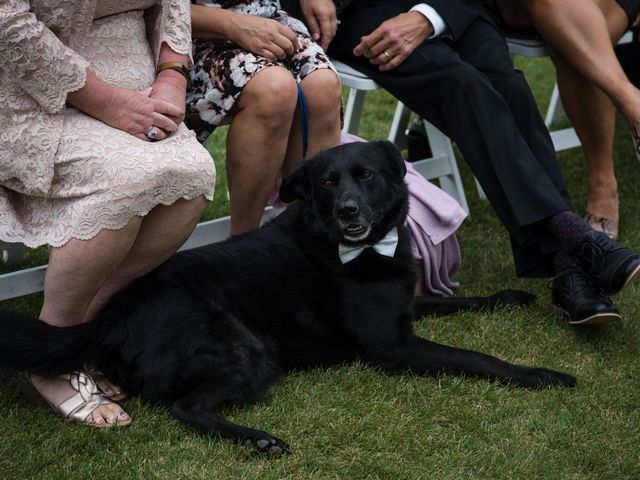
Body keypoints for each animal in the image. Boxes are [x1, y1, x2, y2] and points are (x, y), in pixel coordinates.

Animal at [0, 141, 576, 452]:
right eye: (327, 183)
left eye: (366, 175)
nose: (347, 211)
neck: (354, 247)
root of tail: (109, 317)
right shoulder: (393, 347)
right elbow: (477, 357)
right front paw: (542, 375)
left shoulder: (405, 306)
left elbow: (462, 301)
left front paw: (510, 296)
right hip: (246, 348)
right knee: (186, 407)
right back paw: (258, 439)